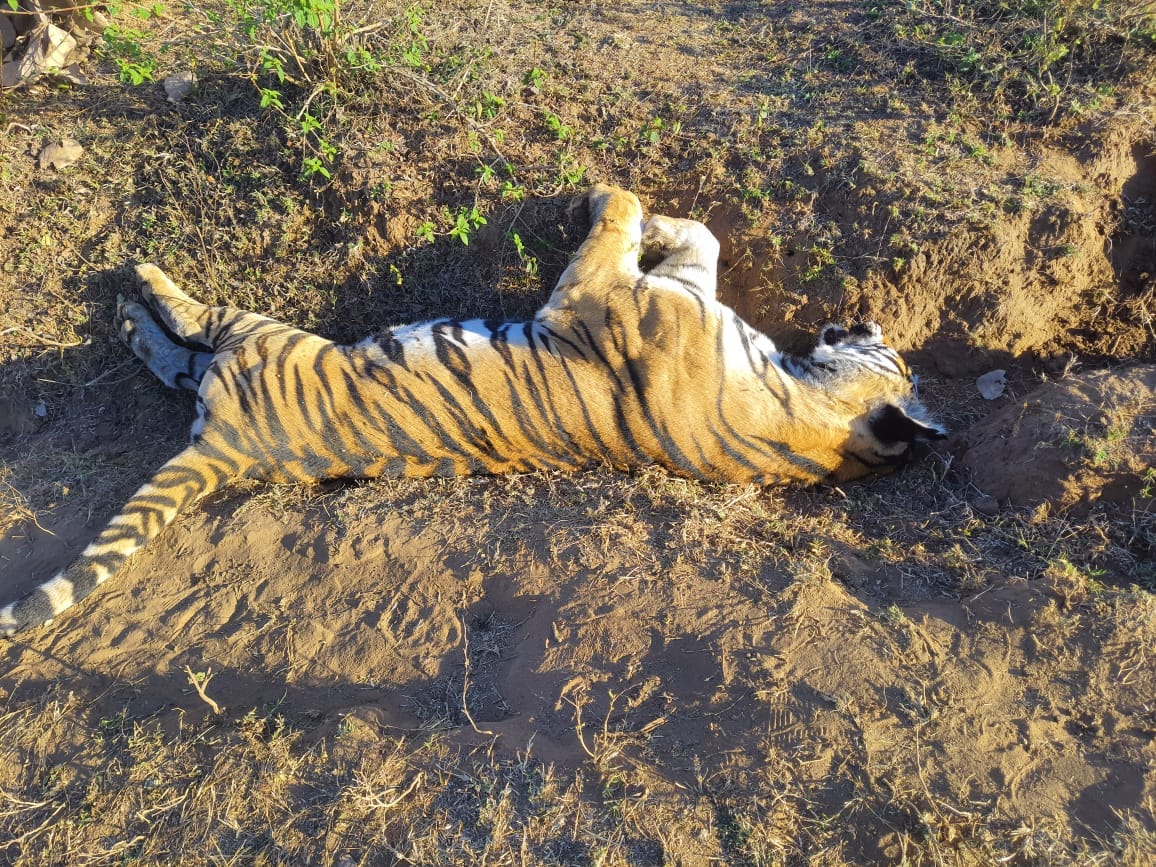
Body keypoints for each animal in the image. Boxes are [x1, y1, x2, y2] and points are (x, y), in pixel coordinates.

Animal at [0, 184, 943, 636]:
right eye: (893, 346)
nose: (864, 315)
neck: (809, 417)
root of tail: (235, 444)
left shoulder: (597, 293)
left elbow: (617, 221)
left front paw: (609, 194)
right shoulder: (683, 293)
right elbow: (700, 239)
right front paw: (663, 217)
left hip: (261, 338)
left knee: (188, 328)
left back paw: (138, 288)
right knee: (174, 358)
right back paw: (132, 310)